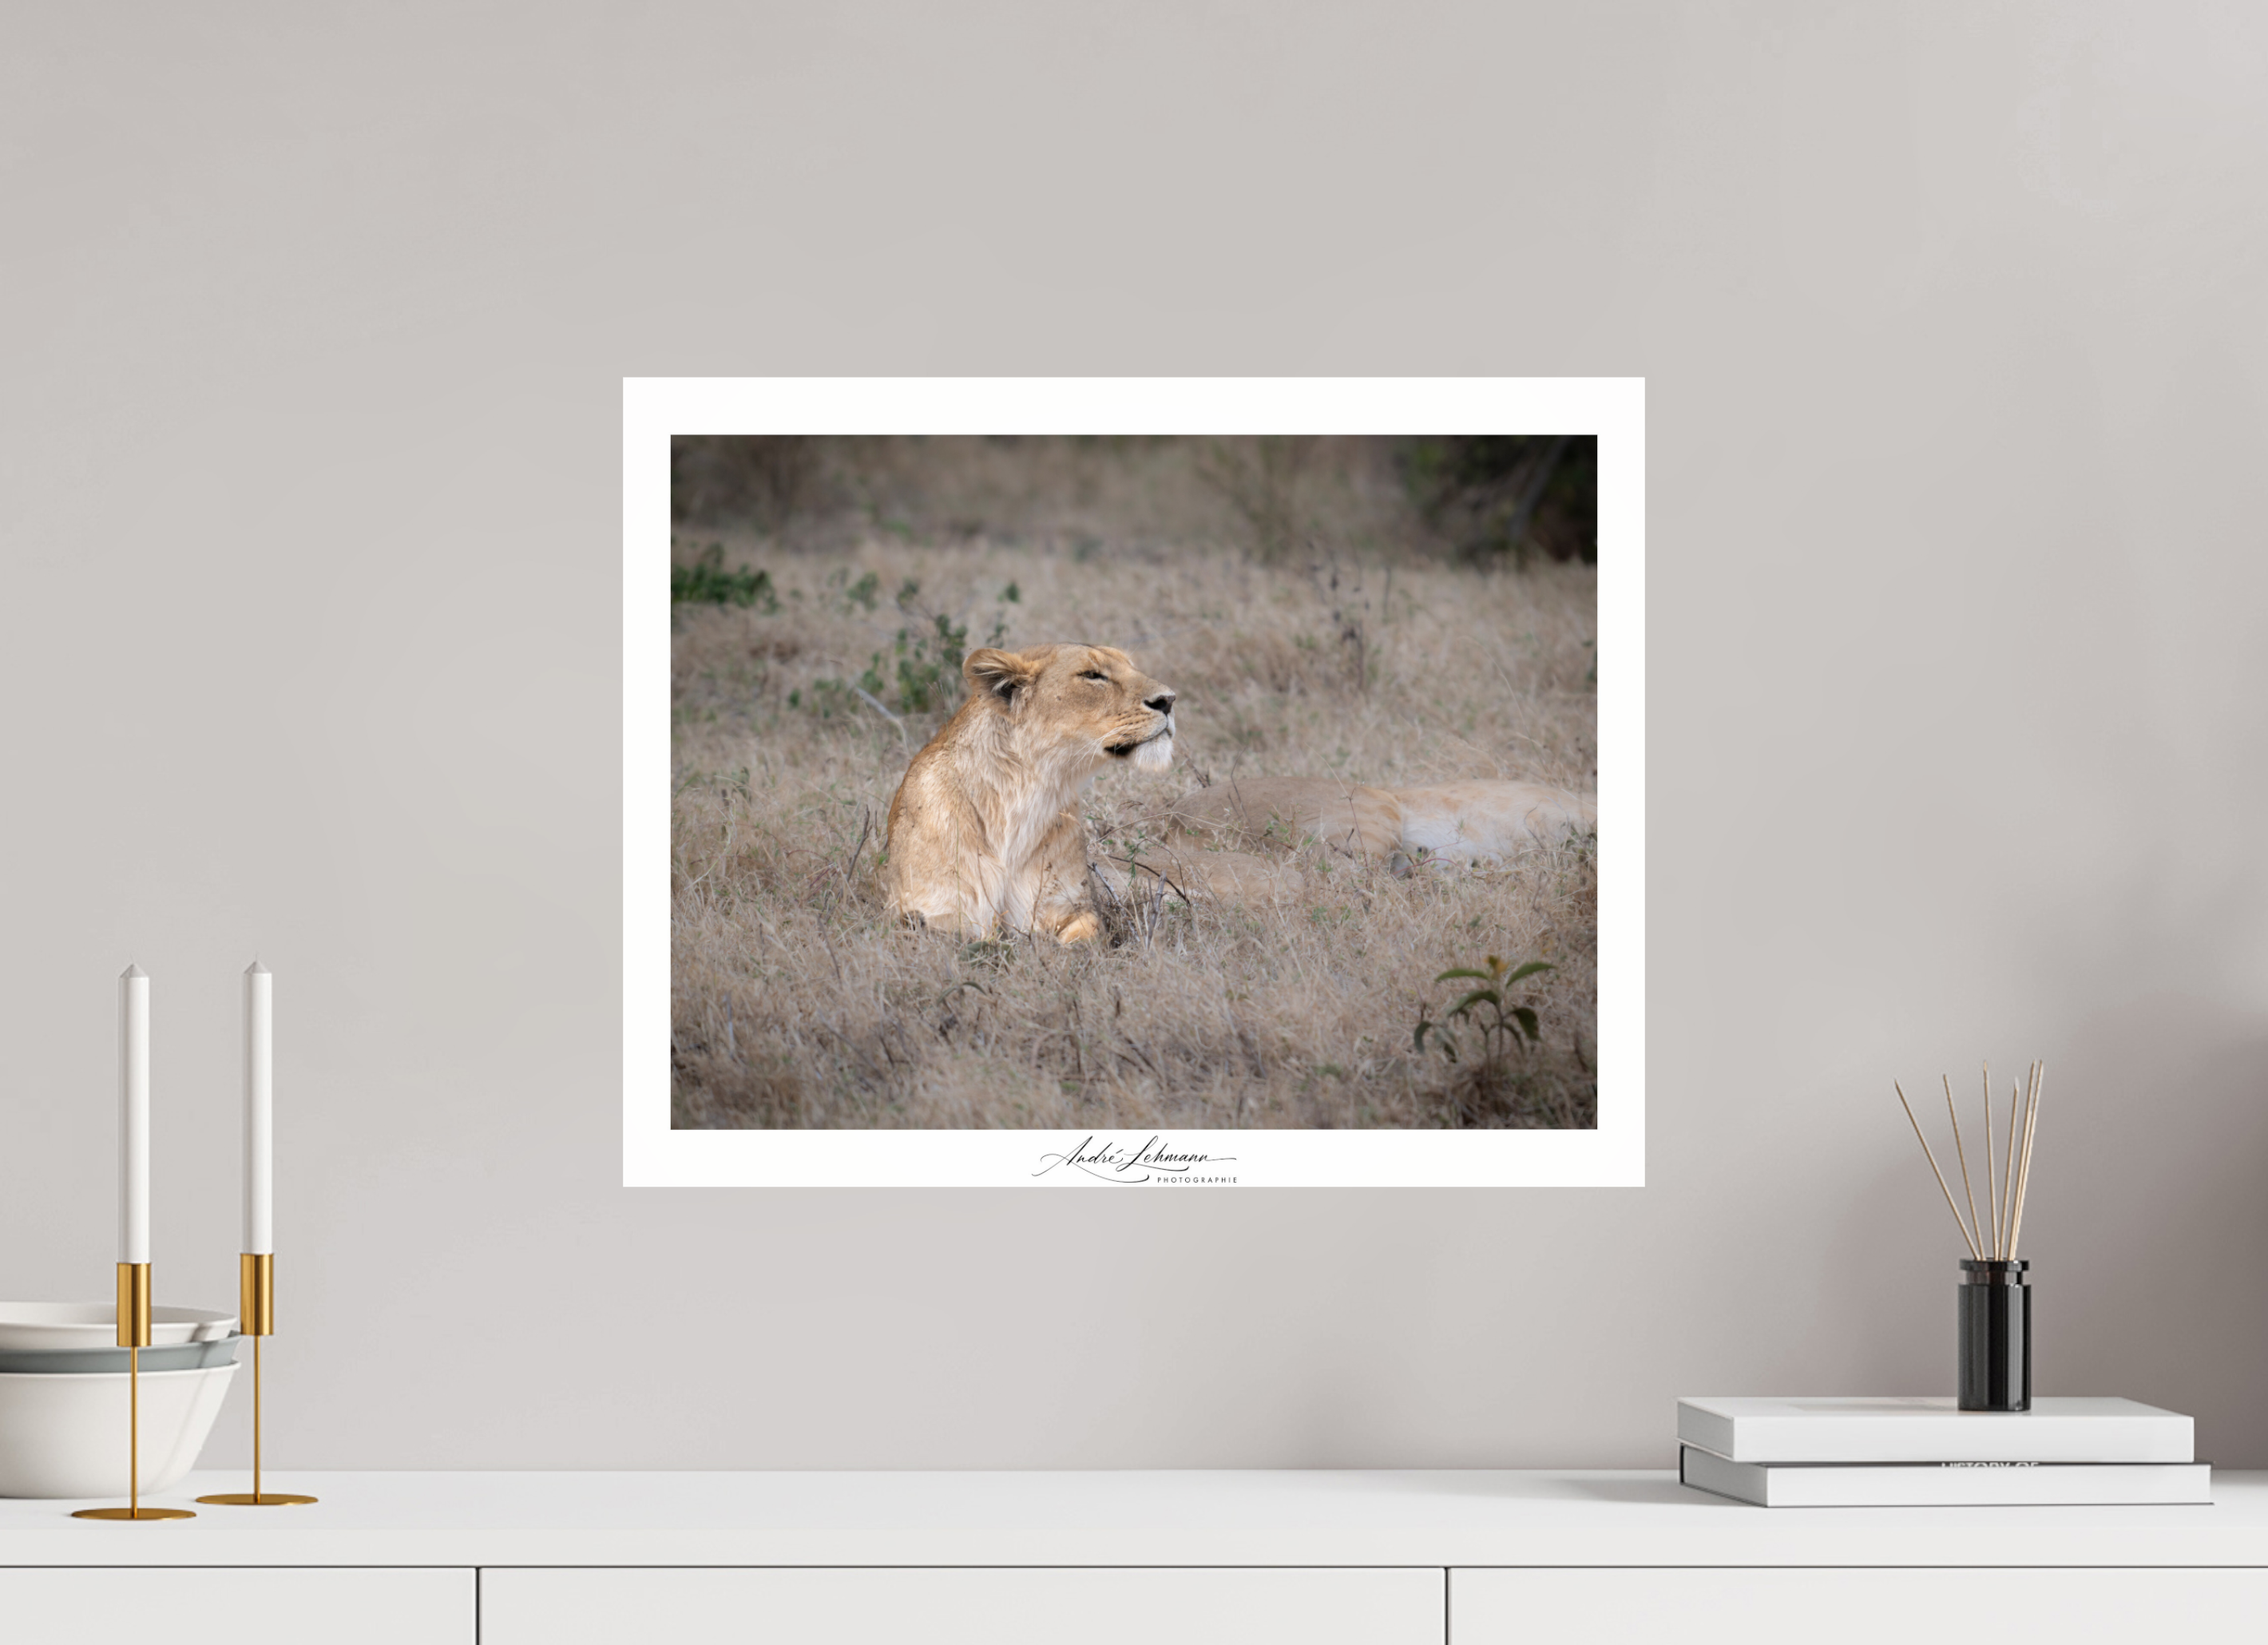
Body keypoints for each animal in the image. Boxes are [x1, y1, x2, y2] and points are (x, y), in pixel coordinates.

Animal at [884, 642, 1177, 942]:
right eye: (1092, 675)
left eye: (1131, 667)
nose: (1168, 700)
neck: (1026, 796)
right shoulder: (929, 913)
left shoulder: (1071, 907)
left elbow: (1085, 937)